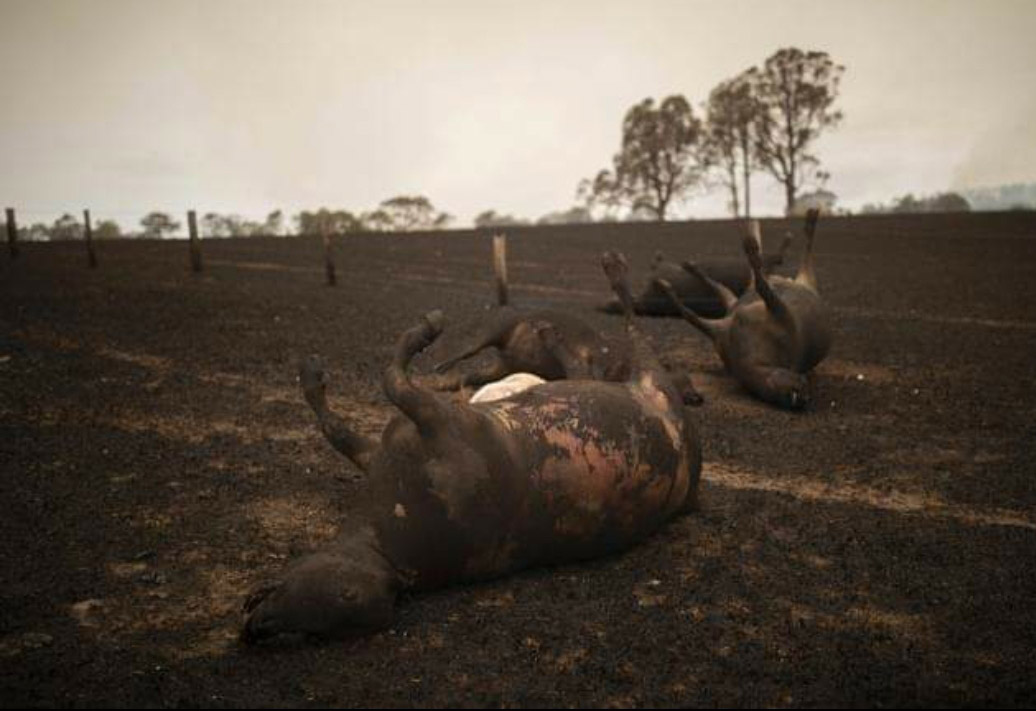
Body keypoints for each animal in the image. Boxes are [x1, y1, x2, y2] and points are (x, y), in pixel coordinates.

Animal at [238, 251, 700, 646]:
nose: (257, 625)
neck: (386, 552)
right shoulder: (385, 449)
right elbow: (337, 424)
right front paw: (314, 377)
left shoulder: (428, 418)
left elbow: (390, 378)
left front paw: (425, 329)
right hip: (637, 380)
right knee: (596, 354)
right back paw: (561, 326)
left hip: (650, 375)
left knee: (630, 328)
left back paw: (607, 275)